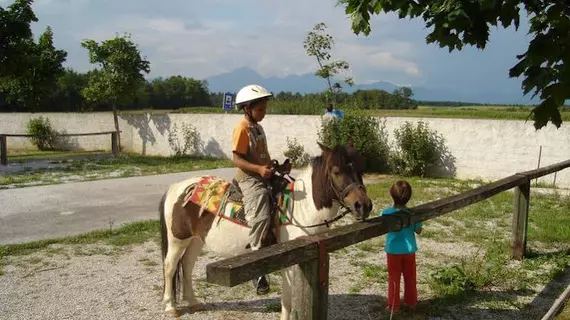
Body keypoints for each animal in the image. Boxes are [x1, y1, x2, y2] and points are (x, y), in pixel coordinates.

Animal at [159, 143, 372, 320]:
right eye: (336, 171)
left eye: (360, 169)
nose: (363, 205)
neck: (300, 208)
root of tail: (174, 188)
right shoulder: (290, 261)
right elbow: (287, 299)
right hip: (178, 239)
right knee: (170, 267)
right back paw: (170, 307)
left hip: (196, 240)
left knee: (186, 266)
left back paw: (193, 303)